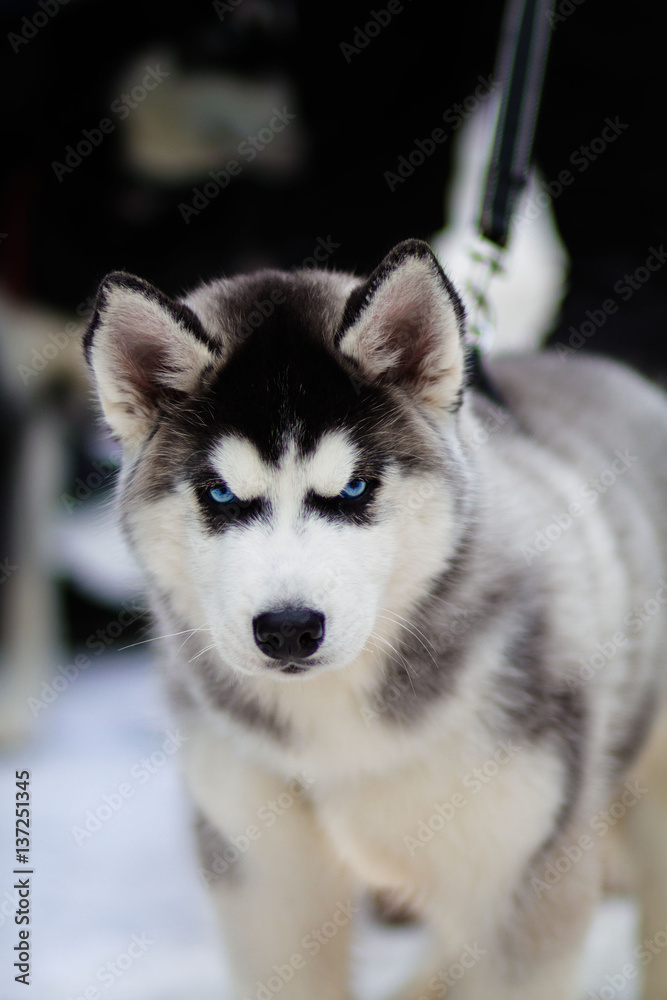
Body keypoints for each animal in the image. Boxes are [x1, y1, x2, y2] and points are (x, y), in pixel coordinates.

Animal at [86, 242, 667, 1000]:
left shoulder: (520, 875)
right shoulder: (266, 887)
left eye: (355, 487)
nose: (288, 628)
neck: (340, 739)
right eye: (219, 494)